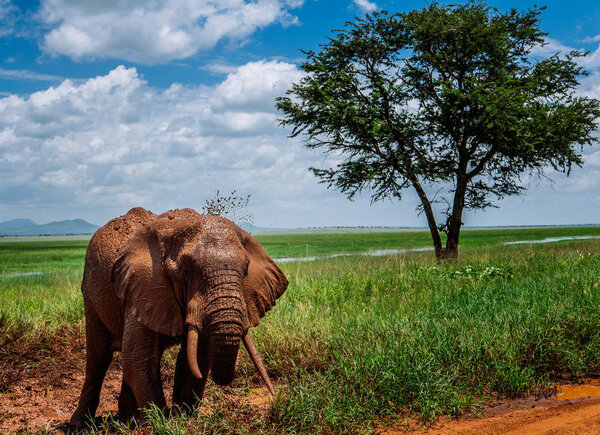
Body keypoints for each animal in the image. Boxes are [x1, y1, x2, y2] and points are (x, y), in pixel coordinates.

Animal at [69, 208, 290, 430]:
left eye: (245, 271)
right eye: (185, 272)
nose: (274, 395)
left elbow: (193, 359)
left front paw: (184, 419)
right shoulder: (143, 288)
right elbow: (140, 361)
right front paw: (161, 424)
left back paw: (127, 422)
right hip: (90, 293)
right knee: (99, 358)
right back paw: (79, 426)